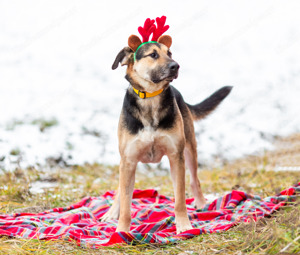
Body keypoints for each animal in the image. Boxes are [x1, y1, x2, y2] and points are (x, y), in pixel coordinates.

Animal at [101, 16, 232, 234]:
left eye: (170, 53)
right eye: (153, 54)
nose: (176, 66)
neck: (150, 98)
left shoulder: (176, 157)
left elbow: (179, 199)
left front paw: (184, 226)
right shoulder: (128, 160)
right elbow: (126, 202)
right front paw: (122, 232)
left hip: (189, 149)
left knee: (194, 180)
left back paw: (201, 204)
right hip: (125, 161)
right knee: (121, 188)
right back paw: (112, 212)